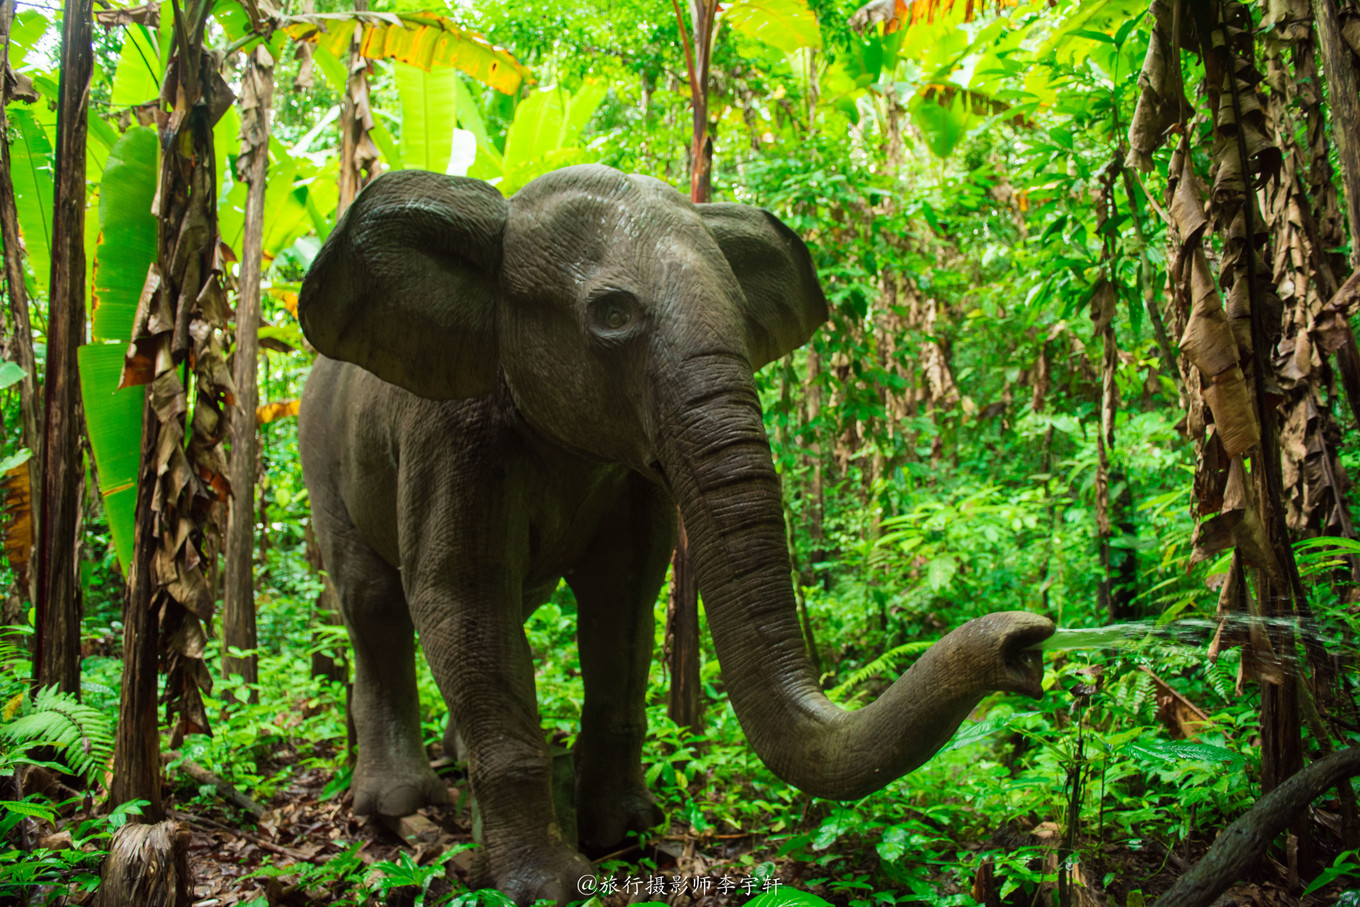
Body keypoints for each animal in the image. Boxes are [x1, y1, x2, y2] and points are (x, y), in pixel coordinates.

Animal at [297, 165, 1055, 907]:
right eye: (611, 316)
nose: (1029, 647)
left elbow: (625, 597)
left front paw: (626, 833)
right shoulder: (450, 437)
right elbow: (459, 595)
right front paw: (547, 888)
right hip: (320, 452)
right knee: (374, 603)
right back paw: (395, 805)